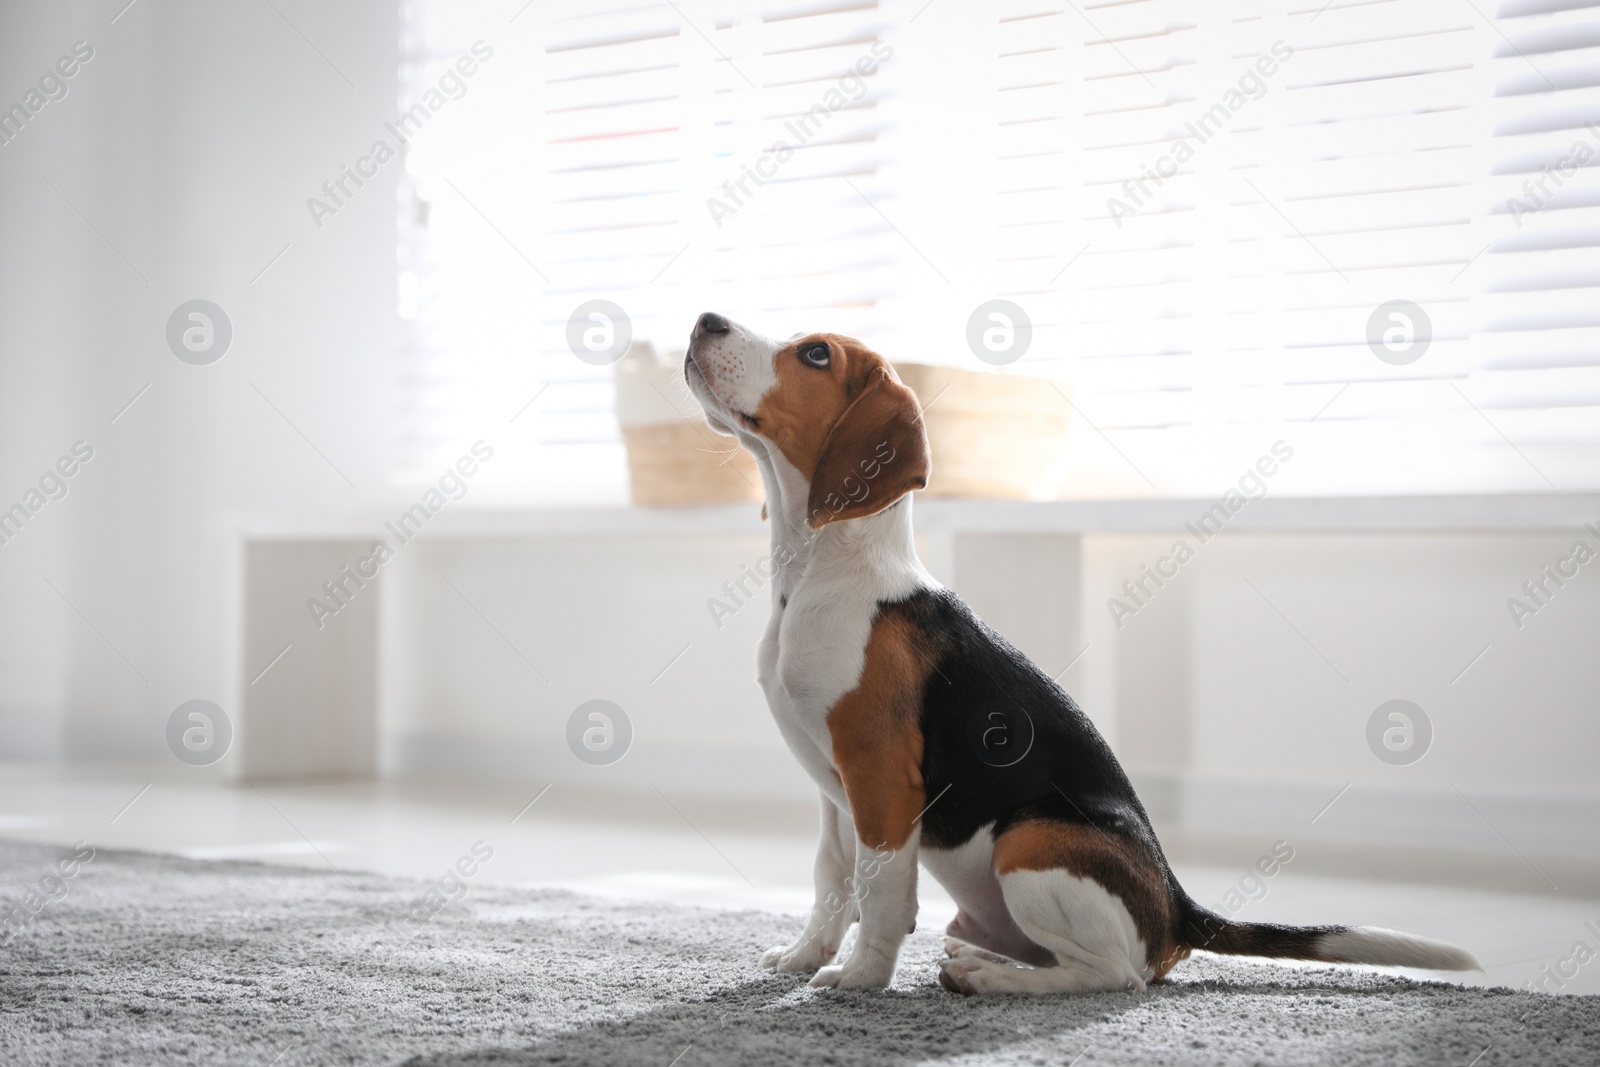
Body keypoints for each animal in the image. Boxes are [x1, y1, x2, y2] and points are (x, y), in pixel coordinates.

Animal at [681, 313, 1478, 998]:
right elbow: (831, 879)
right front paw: (803, 955)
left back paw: (992, 978)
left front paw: (858, 978)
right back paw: (981, 957)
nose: (704, 320)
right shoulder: (833, 788)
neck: (823, 572)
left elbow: (880, 894)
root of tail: (1177, 905)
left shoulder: (880, 780)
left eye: (816, 354)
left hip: (1030, 839)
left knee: (1116, 974)